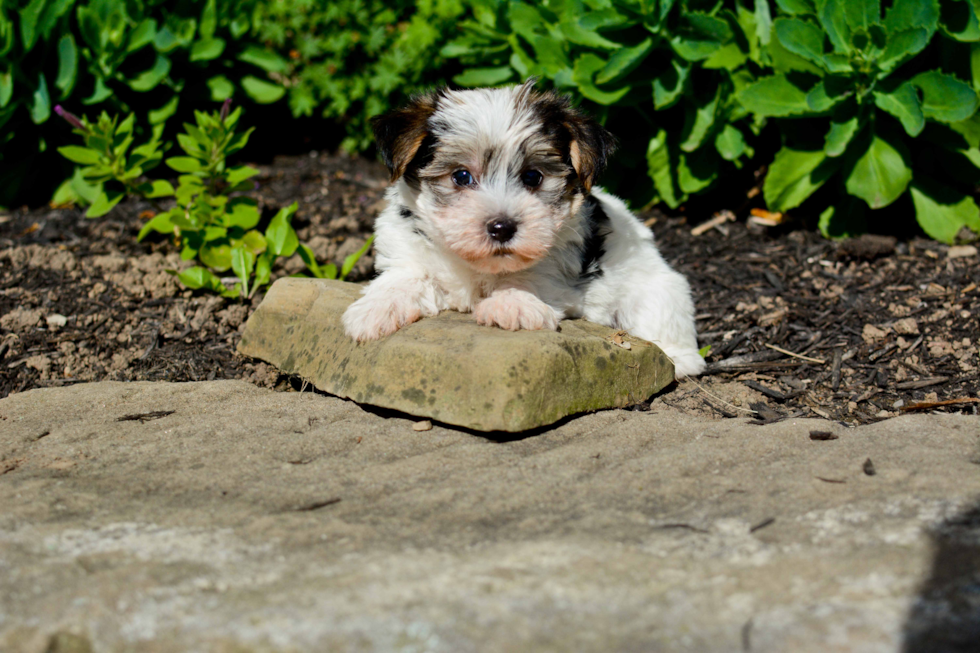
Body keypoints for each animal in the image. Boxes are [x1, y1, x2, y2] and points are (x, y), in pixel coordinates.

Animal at [342, 80, 704, 376]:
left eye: (533, 176)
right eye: (461, 176)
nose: (502, 227)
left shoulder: (562, 262)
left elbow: (532, 274)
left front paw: (513, 302)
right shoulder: (407, 250)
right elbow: (404, 278)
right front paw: (374, 311)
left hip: (657, 289)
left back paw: (679, 359)